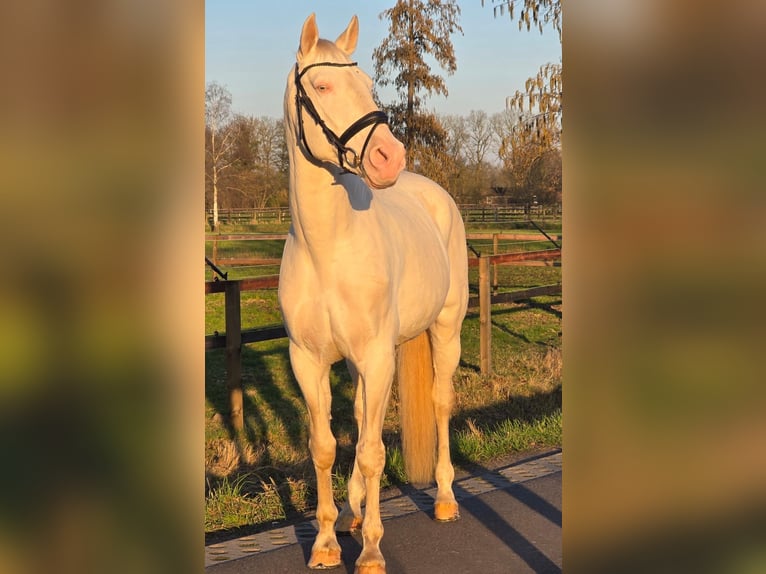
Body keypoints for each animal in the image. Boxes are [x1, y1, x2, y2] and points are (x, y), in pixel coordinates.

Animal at [278, 14, 468, 574]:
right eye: (322, 86)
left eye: (366, 84)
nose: (387, 157)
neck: (326, 249)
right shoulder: (310, 360)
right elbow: (325, 446)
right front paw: (324, 543)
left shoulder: (378, 355)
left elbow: (371, 452)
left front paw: (371, 552)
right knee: (364, 416)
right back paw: (352, 511)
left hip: (444, 331)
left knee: (441, 403)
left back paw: (444, 499)